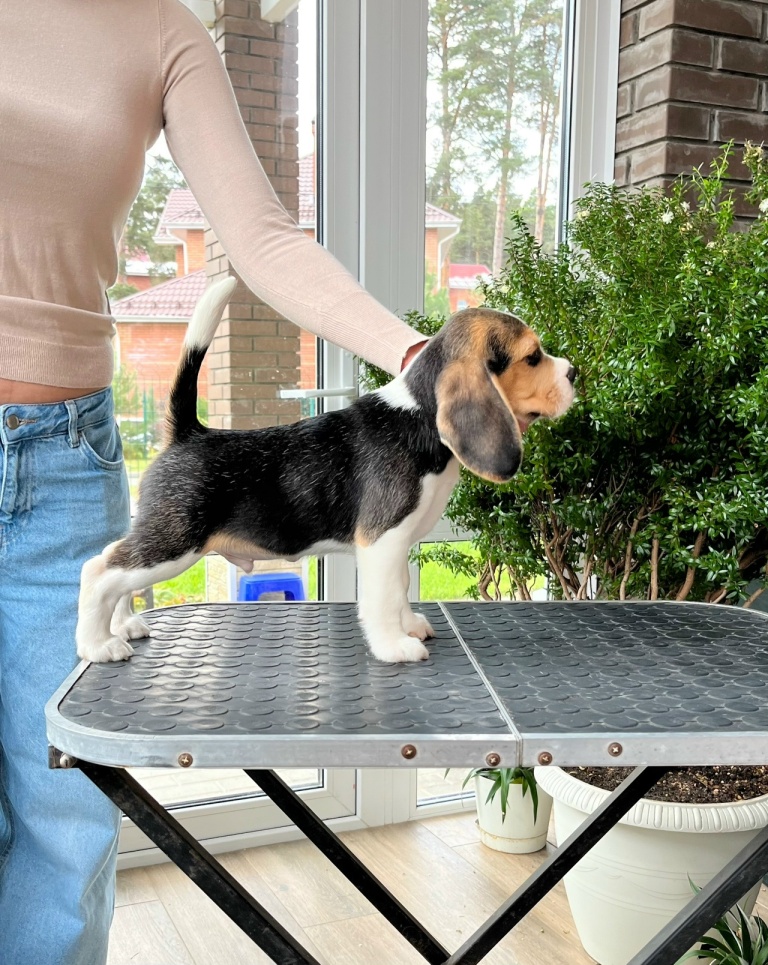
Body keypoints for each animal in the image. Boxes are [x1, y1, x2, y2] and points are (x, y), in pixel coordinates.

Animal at [76, 277, 575, 664]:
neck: (419, 418)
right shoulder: (381, 540)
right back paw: (98, 644)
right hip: (174, 542)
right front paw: (393, 646)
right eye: (533, 357)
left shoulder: (397, 544)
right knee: (98, 570)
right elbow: (382, 598)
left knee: (112, 562)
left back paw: (123, 625)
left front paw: (408, 626)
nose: (574, 372)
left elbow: (399, 589)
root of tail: (188, 432)